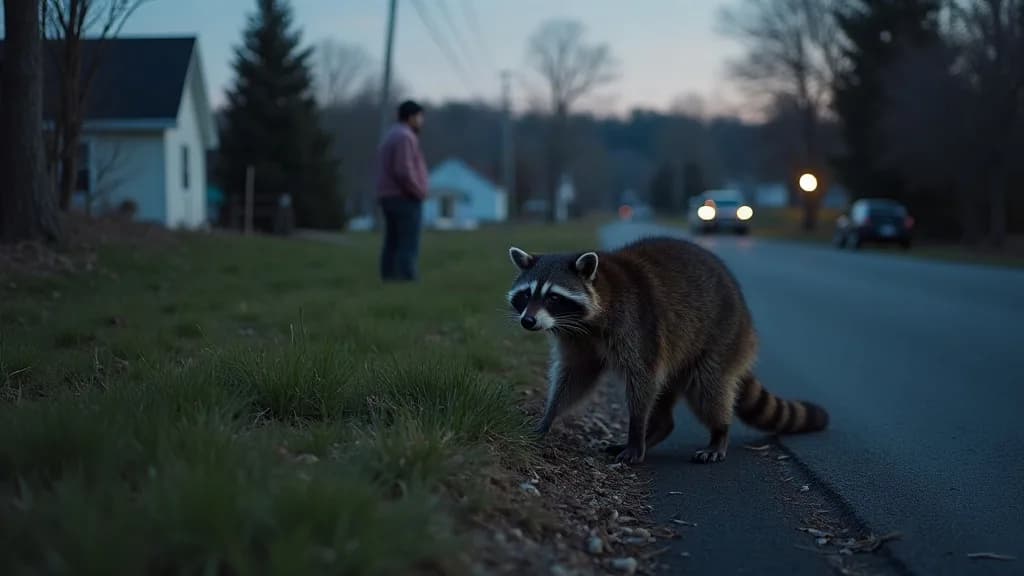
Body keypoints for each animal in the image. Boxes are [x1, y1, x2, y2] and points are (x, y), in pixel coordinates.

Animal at [506, 236, 829, 464]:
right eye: (525, 296)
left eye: (554, 298)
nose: (527, 321)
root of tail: (746, 316)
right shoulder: (579, 340)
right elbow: (575, 376)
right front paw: (549, 416)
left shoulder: (636, 326)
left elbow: (642, 379)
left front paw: (636, 432)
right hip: (679, 350)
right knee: (669, 392)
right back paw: (659, 428)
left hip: (721, 337)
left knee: (709, 387)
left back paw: (718, 432)